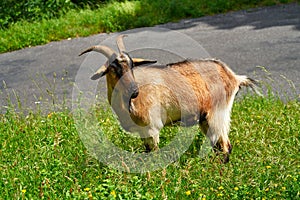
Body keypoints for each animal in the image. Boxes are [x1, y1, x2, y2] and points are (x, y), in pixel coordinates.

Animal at [79, 34, 260, 162]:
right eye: (113, 68)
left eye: (131, 65)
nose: (134, 91)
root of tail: (232, 76)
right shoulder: (142, 132)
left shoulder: (152, 128)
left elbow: (154, 155)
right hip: (204, 119)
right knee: (217, 145)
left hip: (217, 114)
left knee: (225, 146)